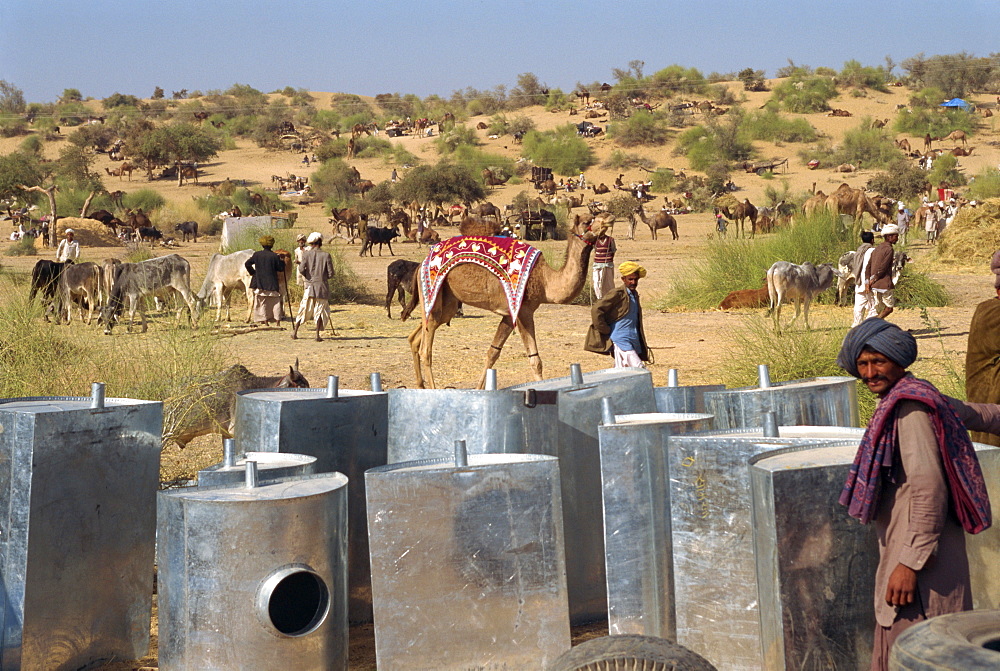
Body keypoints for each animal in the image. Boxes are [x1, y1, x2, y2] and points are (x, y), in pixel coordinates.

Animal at [400, 218, 600, 392]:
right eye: (587, 221)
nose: (605, 222)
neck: (545, 280)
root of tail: (421, 264)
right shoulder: (523, 311)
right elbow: (535, 360)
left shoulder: (509, 315)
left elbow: (492, 353)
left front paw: (480, 389)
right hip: (433, 293)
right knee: (426, 349)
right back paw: (432, 389)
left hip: (446, 302)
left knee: (416, 336)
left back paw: (420, 385)